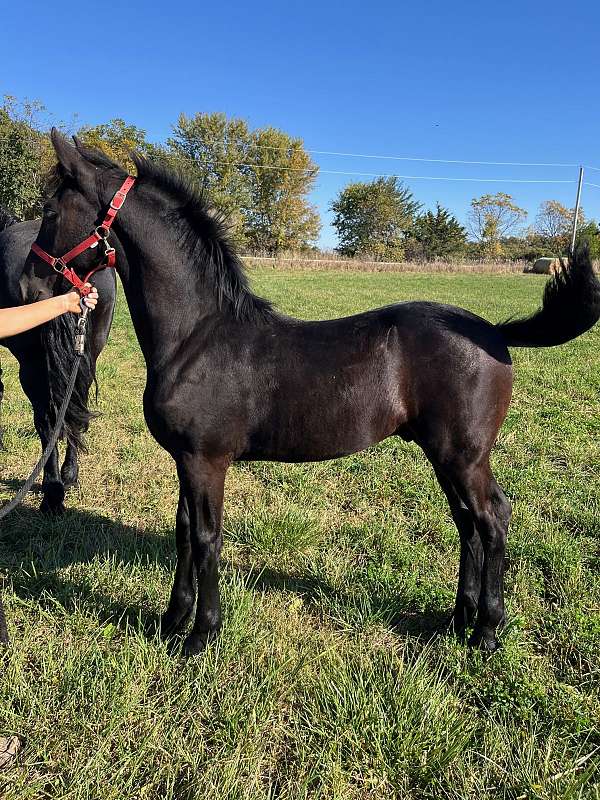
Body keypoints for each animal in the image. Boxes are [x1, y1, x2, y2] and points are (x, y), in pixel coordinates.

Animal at [24, 133, 600, 656]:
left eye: (50, 208)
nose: (31, 283)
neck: (198, 335)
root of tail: (494, 333)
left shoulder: (206, 460)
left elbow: (207, 538)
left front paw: (201, 636)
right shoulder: (186, 460)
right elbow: (184, 531)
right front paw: (171, 622)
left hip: (464, 455)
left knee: (492, 518)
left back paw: (486, 633)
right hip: (446, 457)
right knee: (468, 524)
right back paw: (457, 621)